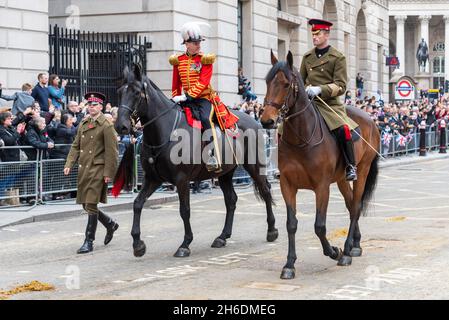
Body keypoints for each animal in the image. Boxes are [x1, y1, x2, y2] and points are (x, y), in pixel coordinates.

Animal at [113, 64, 276, 258]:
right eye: (119, 92)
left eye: (137, 93)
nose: (120, 126)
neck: (165, 131)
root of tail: (255, 122)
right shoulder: (153, 179)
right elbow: (137, 204)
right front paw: (138, 244)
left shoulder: (182, 179)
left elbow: (185, 210)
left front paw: (185, 244)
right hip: (226, 172)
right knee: (231, 200)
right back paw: (222, 236)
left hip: (254, 165)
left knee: (265, 191)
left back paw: (272, 230)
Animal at [260, 51, 378, 278]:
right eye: (267, 81)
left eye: (286, 84)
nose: (266, 121)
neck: (301, 138)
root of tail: (370, 119)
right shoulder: (287, 185)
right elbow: (291, 224)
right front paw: (289, 264)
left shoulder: (322, 186)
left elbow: (319, 226)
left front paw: (334, 251)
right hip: (341, 179)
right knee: (350, 204)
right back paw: (355, 244)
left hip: (362, 170)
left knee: (356, 206)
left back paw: (347, 250)